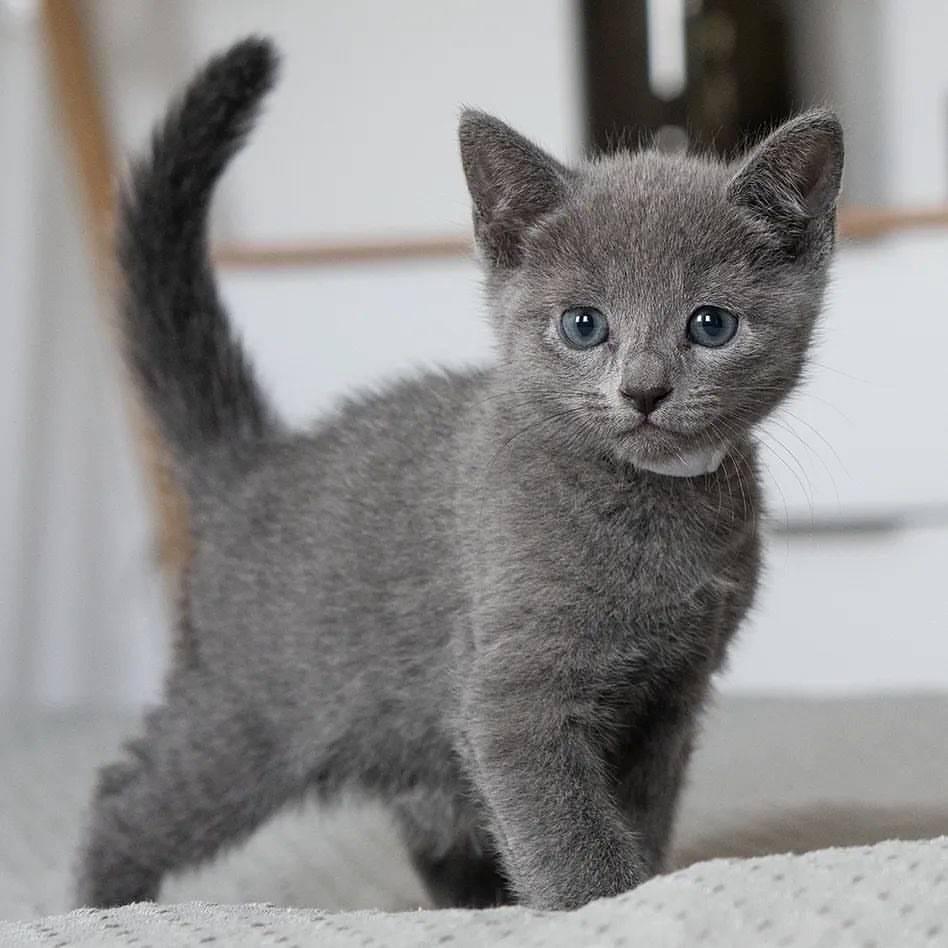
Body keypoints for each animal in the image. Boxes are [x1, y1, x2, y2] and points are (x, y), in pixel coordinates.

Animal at [76, 37, 843, 911]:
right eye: (585, 325)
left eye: (711, 325)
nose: (644, 390)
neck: (651, 505)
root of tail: (257, 463)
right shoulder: (514, 696)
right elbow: (566, 832)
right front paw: (605, 905)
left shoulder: (672, 697)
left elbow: (639, 812)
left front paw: (646, 882)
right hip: (249, 718)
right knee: (125, 798)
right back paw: (105, 903)